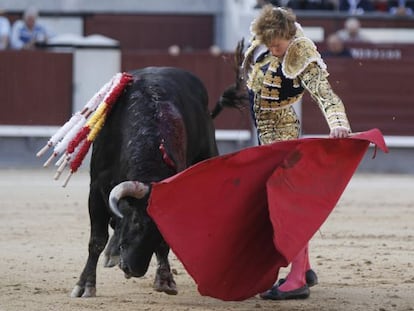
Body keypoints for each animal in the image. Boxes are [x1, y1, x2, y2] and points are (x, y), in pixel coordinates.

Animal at [69, 64, 247, 300]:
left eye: (163, 228)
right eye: (136, 221)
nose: (134, 269)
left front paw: (164, 280)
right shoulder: (96, 189)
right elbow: (97, 240)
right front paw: (85, 285)